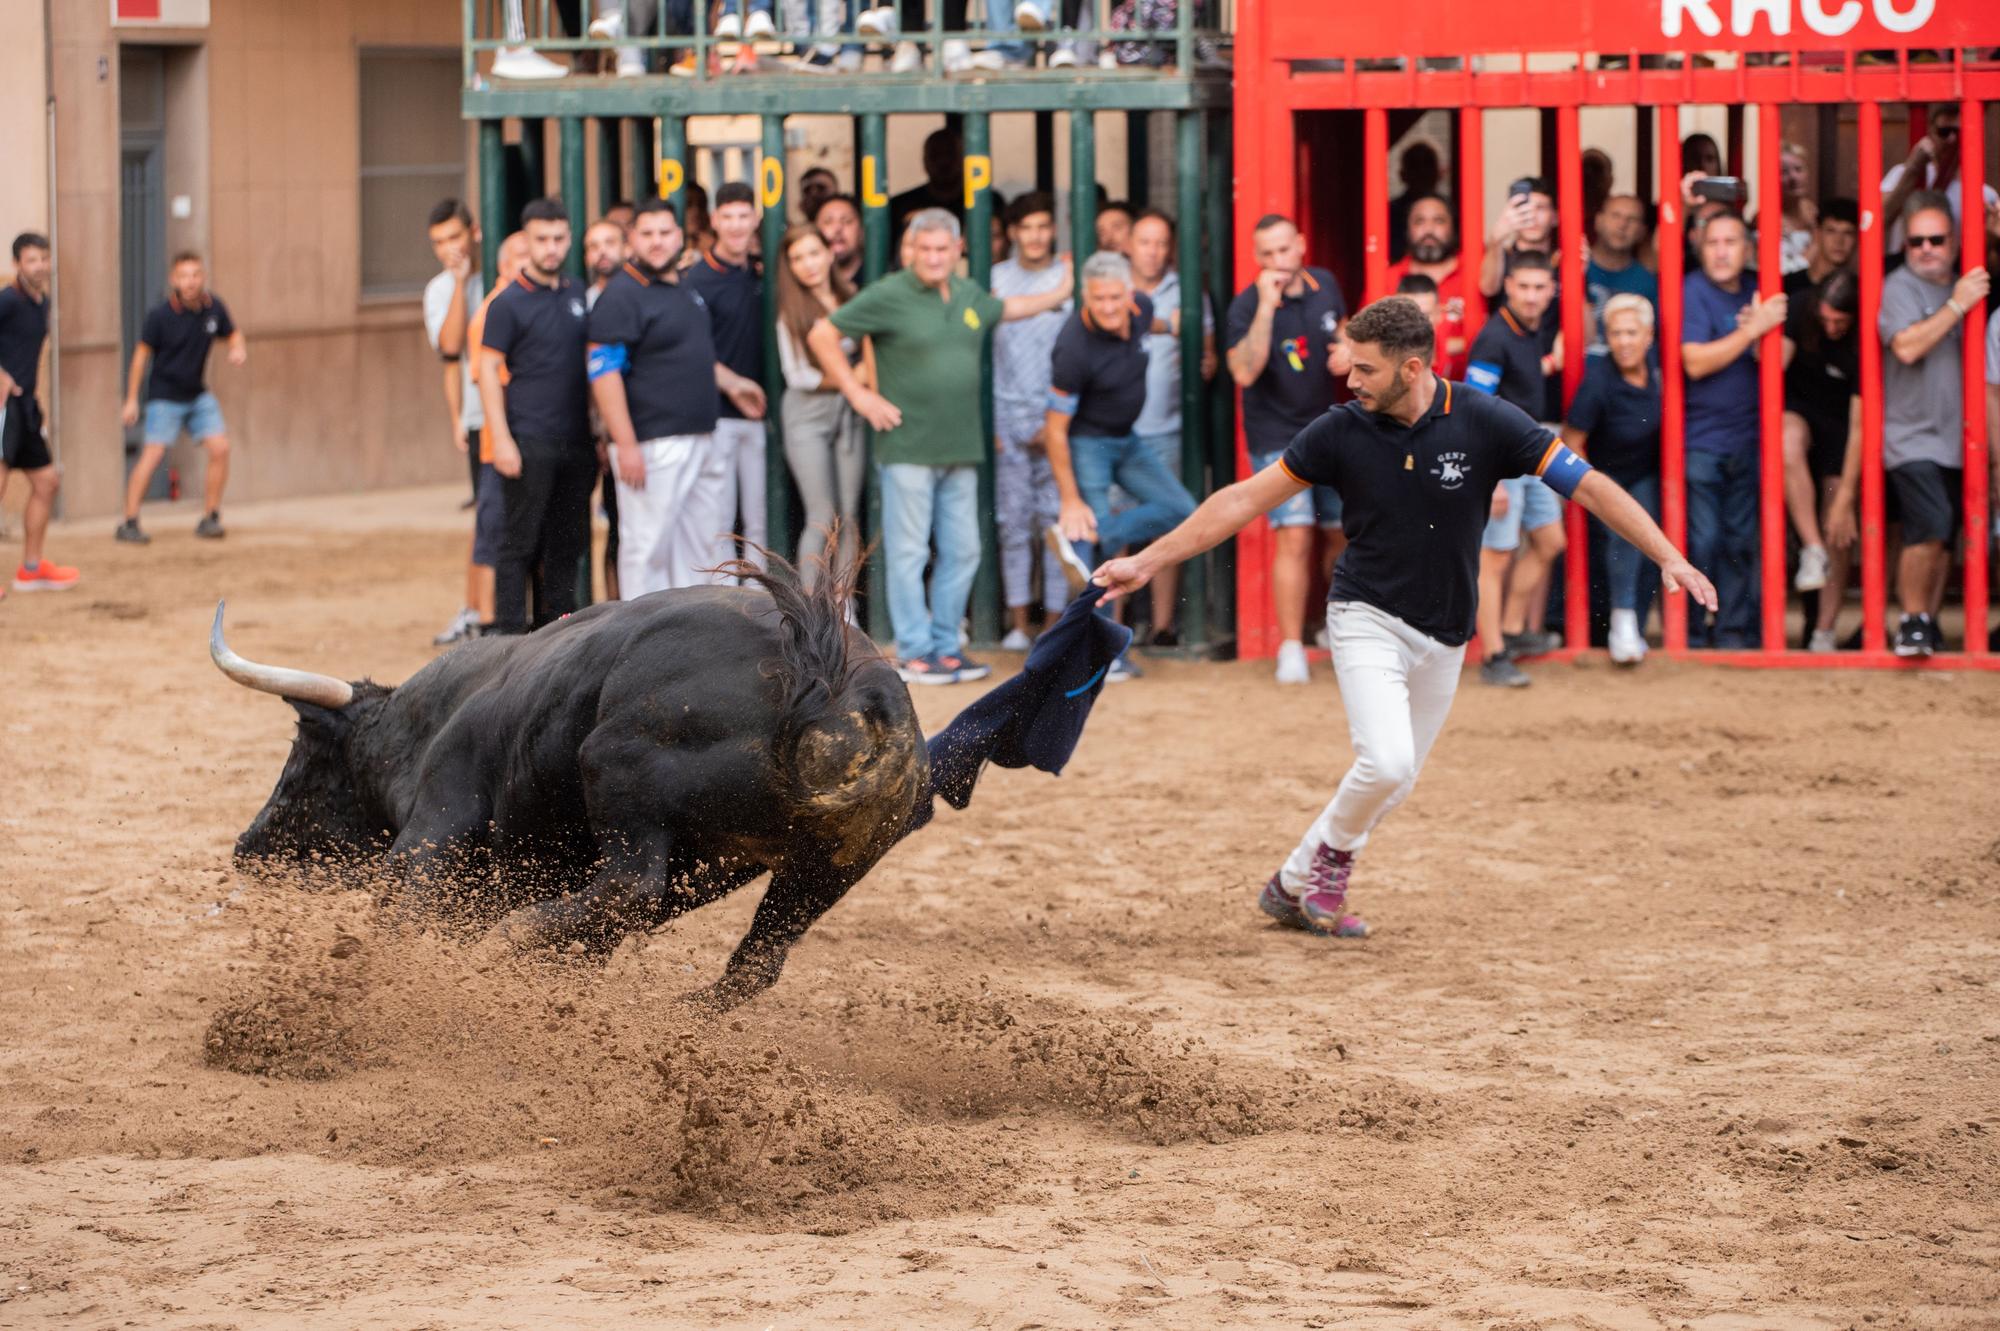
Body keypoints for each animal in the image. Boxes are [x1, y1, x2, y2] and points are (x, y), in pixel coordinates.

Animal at [215, 559, 932, 1007]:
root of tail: (846, 685)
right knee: (754, 958)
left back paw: (515, 940)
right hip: (821, 873)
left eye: (305, 759)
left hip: (616, 766)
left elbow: (399, 908)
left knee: (630, 886)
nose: (247, 847)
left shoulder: (433, 828)